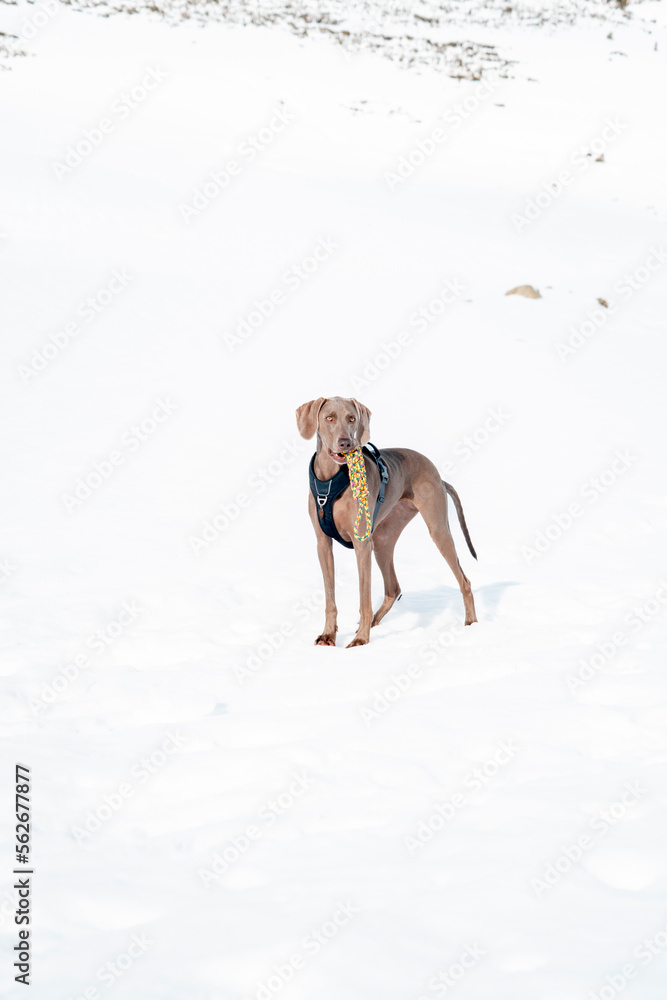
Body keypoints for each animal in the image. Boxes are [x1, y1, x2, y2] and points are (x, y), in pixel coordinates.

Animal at [294, 398, 478, 648]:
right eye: (329, 417)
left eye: (352, 418)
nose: (346, 443)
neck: (331, 480)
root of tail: (439, 476)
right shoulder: (323, 544)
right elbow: (330, 598)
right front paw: (328, 635)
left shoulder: (362, 544)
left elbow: (364, 598)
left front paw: (361, 640)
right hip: (383, 539)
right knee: (393, 588)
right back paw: (371, 622)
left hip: (437, 530)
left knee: (464, 581)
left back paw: (471, 624)